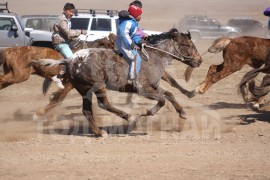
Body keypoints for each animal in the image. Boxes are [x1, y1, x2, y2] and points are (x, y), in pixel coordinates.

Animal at [33, 28, 201, 137]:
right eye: (188, 45)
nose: (199, 60)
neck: (153, 57)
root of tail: (70, 60)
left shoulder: (154, 87)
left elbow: (169, 94)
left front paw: (182, 112)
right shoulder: (145, 89)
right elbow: (162, 100)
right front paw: (144, 113)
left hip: (85, 91)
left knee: (86, 111)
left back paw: (99, 132)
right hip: (97, 86)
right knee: (104, 105)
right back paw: (129, 117)